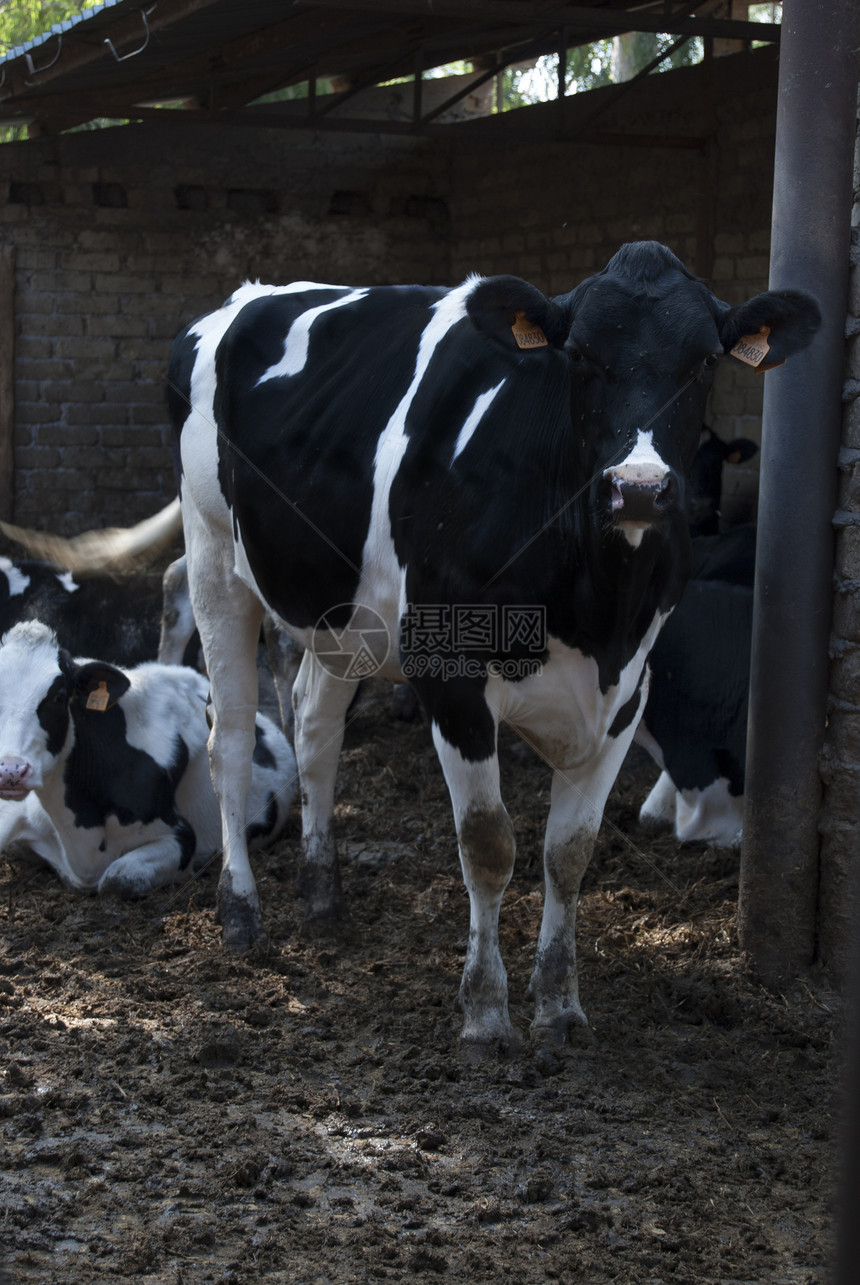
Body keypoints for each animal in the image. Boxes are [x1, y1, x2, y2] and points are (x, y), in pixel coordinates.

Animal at [167, 242, 817, 1053]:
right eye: (580, 356)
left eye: (703, 361)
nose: (637, 488)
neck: (594, 610)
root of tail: (250, 294)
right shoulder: (450, 678)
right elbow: (489, 845)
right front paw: (484, 1010)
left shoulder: (627, 692)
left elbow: (569, 852)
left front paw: (560, 1005)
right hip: (214, 557)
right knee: (227, 741)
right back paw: (241, 913)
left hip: (343, 613)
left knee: (316, 729)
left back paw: (322, 896)